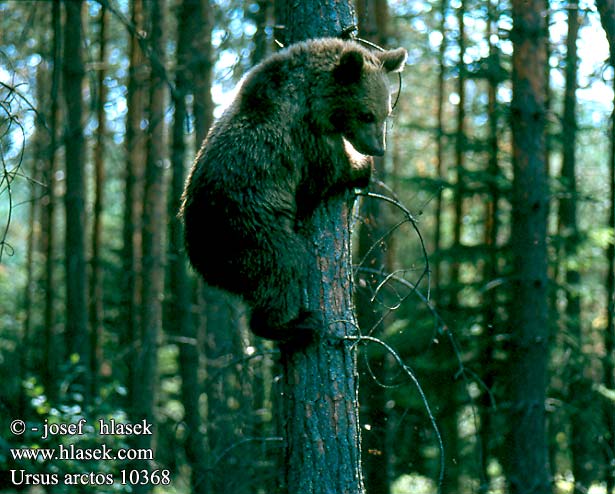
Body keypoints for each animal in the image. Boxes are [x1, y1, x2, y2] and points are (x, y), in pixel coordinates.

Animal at [180, 36, 406, 342]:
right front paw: (361, 168)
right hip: (249, 231)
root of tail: (202, 262)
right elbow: (329, 171)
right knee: (286, 265)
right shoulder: (305, 136)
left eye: (386, 112)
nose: (378, 149)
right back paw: (295, 323)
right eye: (367, 114)